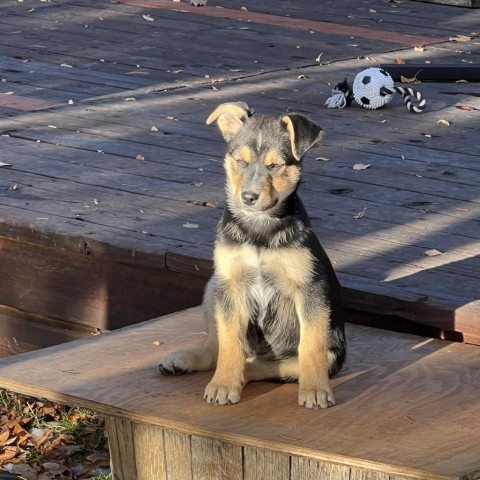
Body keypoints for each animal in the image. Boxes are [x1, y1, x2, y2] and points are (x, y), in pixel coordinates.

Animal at [159, 102, 346, 408]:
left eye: (275, 166)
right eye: (240, 161)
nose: (248, 197)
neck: (259, 229)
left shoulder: (310, 289)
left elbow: (311, 345)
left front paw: (316, 390)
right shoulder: (231, 285)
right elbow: (229, 343)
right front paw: (224, 384)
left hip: (323, 353)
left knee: (272, 365)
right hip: (214, 286)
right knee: (217, 348)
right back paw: (187, 361)